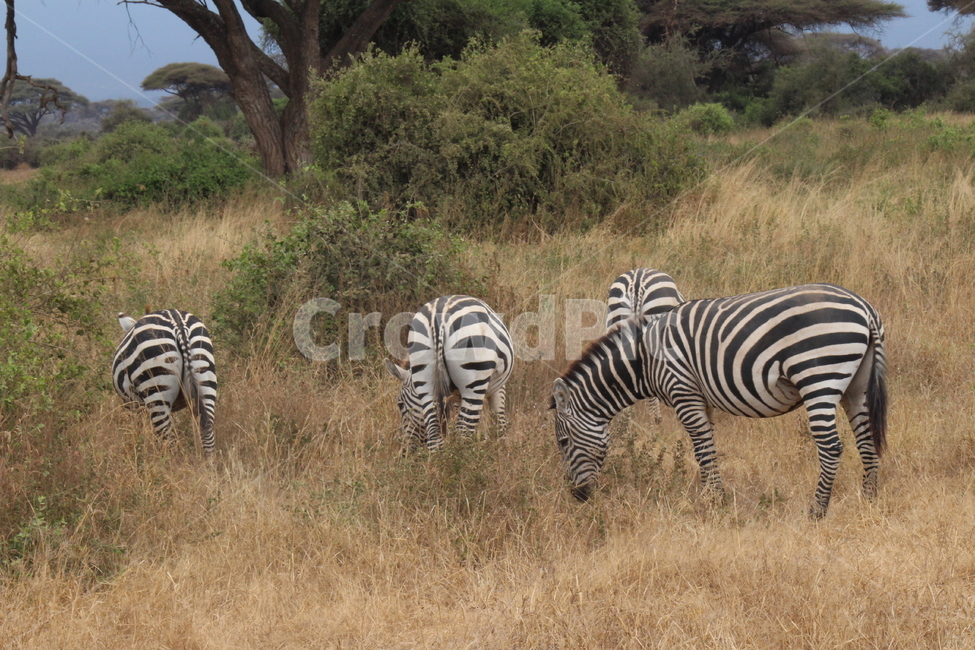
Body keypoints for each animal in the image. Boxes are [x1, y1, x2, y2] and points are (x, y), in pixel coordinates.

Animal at [113, 309, 218, 455]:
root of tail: (179, 326)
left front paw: (140, 449)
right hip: (204, 377)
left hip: (156, 391)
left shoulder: (133, 405)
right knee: (207, 432)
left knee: (169, 440)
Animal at [385, 295, 513, 450]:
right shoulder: (498, 386)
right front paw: (501, 449)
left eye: (400, 404)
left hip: (424, 378)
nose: (407, 449)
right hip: (474, 380)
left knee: (435, 439)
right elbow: (499, 421)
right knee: (463, 434)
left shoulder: (456, 396)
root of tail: (438, 318)